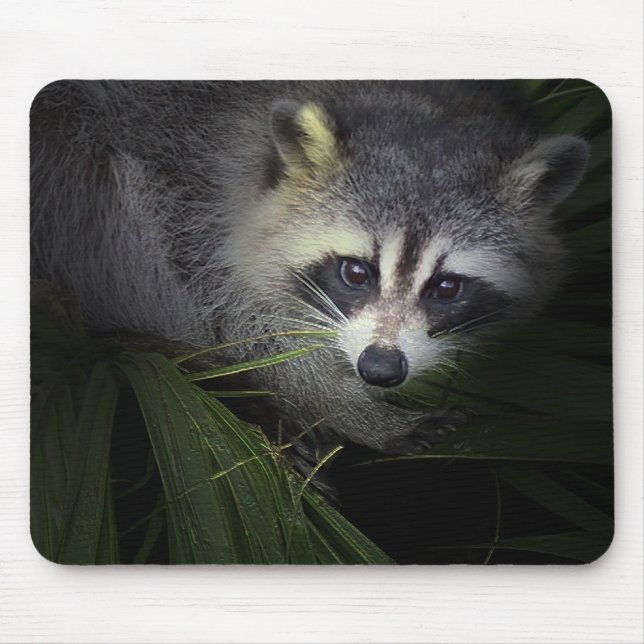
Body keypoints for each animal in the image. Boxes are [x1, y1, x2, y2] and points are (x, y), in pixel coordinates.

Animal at [30, 80, 589, 478]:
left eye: (447, 287)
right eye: (356, 272)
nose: (380, 369)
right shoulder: (186, 187)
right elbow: (245, 325)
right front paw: (352, 412)